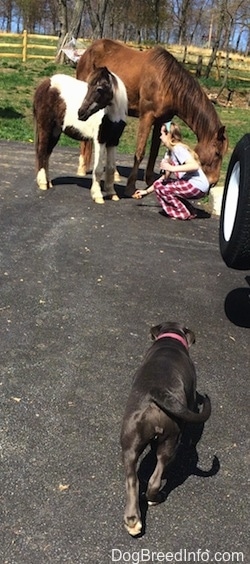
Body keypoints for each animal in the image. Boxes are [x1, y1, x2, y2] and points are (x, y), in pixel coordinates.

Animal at [33, 66, 127, 203]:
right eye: (88, 87)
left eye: (99, 89)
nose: (81, 113)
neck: (111, 115)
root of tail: (45, 84)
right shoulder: (100, 140)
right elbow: (98, 169)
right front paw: (97, 195)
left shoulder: (113, 141)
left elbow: (110, 168)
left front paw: (112, 193)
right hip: (45, 127)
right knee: (41, 152)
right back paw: (43, 183)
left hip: (55, 131)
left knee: (47, 154)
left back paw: (48, 182)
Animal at [76, 39, 229, 196]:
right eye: (217, 153)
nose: (213, 182)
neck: (167, 82)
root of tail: (88, 51)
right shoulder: (146, 117)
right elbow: (140, 152)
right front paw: (130, 187)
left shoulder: (161, 120)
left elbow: (154, 151)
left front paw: (150, 181)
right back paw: (82, 167)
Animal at [120, 324, 210, 536]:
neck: (171, 339)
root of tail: (156, 393)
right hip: (170, 440)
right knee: (155, 478)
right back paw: (156, 498)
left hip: (130, 443)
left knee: (132, 480)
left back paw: (132, 520)